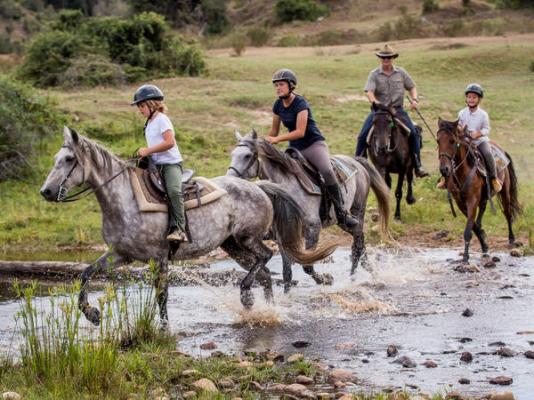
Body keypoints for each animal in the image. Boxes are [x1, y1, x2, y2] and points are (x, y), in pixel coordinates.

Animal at [40, 126, 340, 326]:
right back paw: (263, 309)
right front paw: (91, 314)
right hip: (232, 245)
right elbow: (87, 273)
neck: (124, 198)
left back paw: (246, 294)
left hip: (247, 238)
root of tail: (261, 187)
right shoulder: (121, 254)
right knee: (265, 274)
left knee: (265, 258)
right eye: (55, 159)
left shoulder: (159, 257)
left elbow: (162, 295)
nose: (46, 191)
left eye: (69, 160)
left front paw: (163, 329)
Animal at [228, 133, 392, 292]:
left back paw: (354, 278)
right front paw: (287, 295)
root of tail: (355, 161)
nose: (230, 179)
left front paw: (326, 279)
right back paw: (366, 271)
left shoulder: (312, 229)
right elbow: (287, 272)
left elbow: (307, 265)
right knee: (359, 241)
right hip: (343, 222)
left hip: (358, 210)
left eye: (247, 155)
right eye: (232, 154)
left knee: (357, 244)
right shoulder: (283, 236)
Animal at [438, 119, 520, 262]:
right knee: (483, 208)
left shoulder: (472, 200)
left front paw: (466, 256)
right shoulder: (460, 202)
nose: (444, 170)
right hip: (484, 196)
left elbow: (468, 230)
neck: (463, 172)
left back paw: (511, 240)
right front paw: (484, 244)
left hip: (504, 192)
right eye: (438, 141)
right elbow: (474, 227)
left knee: (508, 213)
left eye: (452, 141)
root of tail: (502, 151)